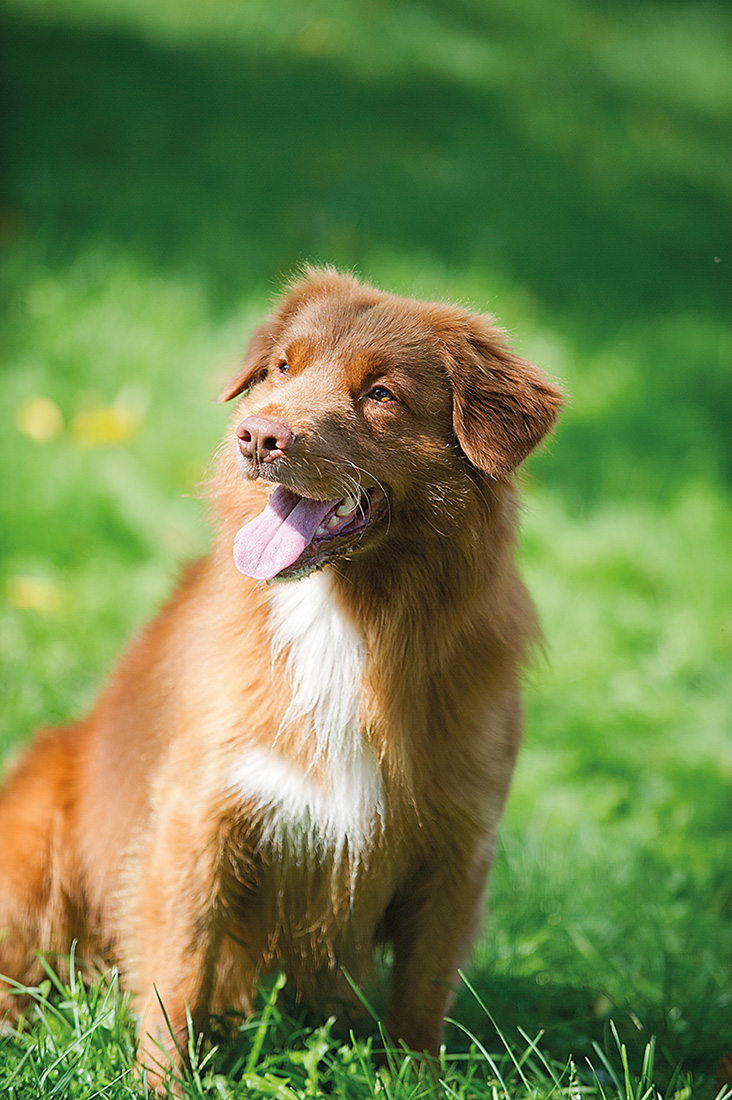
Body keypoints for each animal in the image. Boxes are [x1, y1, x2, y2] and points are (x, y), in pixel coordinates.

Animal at [0, 266, 563, 1082]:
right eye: (282, 368)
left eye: (381, 393)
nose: (258, 435)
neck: (344, 616)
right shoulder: (198, 819)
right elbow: (176, 979)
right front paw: (163, 1085)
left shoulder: (458, 843)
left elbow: (421, 997)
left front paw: (410, 1082)